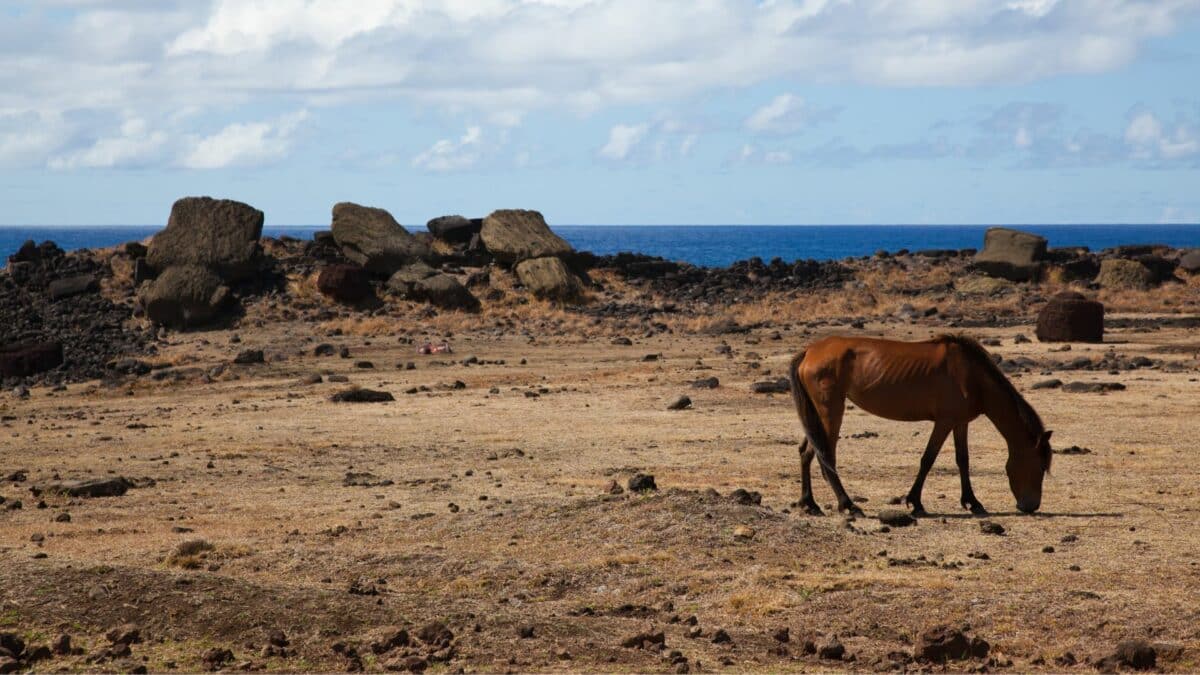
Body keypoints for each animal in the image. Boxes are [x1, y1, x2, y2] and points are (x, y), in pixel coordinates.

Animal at [787, 331, 1051, 514]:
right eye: (1040, 466)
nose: (1030, 506)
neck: (972, 377)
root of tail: (809, 351)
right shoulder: (944, 422)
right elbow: (928, 459)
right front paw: (915, 502)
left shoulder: (960, 423)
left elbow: (963, 460)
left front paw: (972, 502)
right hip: (830, 411)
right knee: (825, 455)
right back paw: (847, 504)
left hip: (817, 415)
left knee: (806, 452)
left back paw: (809, 504)